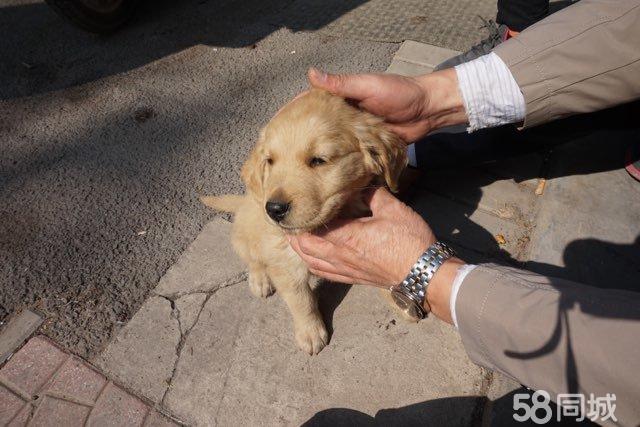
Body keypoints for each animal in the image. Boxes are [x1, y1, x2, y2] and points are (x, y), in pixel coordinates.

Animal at [202, 88, 408, 354]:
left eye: (318, 160)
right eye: (270, 161)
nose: (274, 209)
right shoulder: (285, 263)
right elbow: (302, 301)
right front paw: (310, 332)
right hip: (243, 236)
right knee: (252, 259)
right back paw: (259, 280)